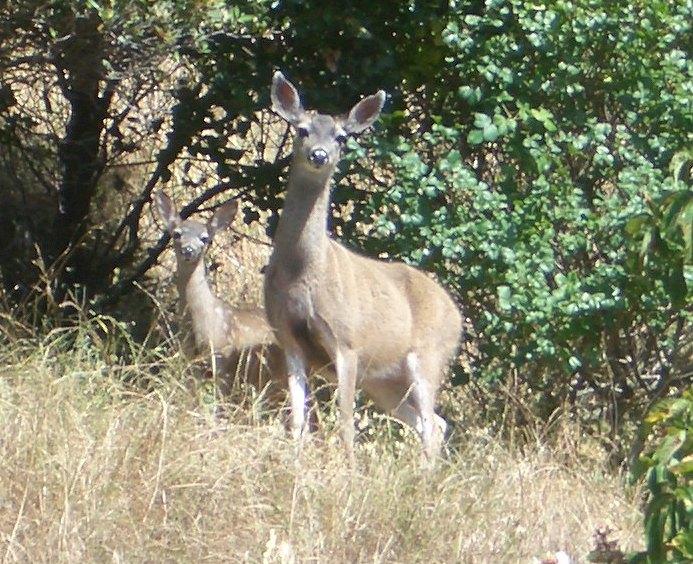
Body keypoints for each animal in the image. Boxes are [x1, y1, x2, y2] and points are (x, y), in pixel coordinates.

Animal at [264, 72, 462, 462]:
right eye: (302, 129)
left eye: (342, 137)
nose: (320, 155)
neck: (303, 273)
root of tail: (458, 316)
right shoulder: (287, 337)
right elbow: (298, 420)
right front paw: (295, 462)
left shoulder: (347, 339)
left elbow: (345, 423)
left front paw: (348, 468)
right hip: (385, 380)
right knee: (431, 421)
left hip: (429, 356)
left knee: (432, 423)